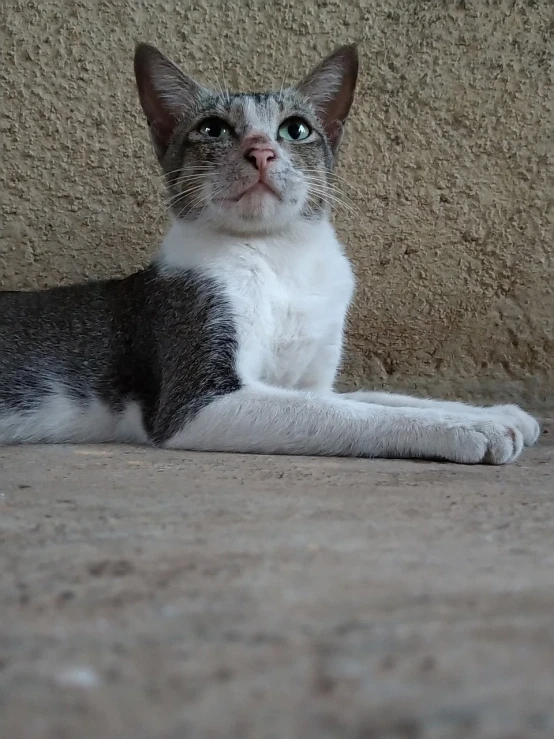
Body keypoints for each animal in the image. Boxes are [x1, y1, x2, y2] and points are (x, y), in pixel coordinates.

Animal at [0, 42, 536, 462]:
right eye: (213, 129)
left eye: (296, 129)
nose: (261, 151)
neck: (280, 255)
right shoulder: (195, 402)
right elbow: (344, 412)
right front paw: (471, 428)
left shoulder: (308, 379)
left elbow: (376, 396)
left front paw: (498, 414)